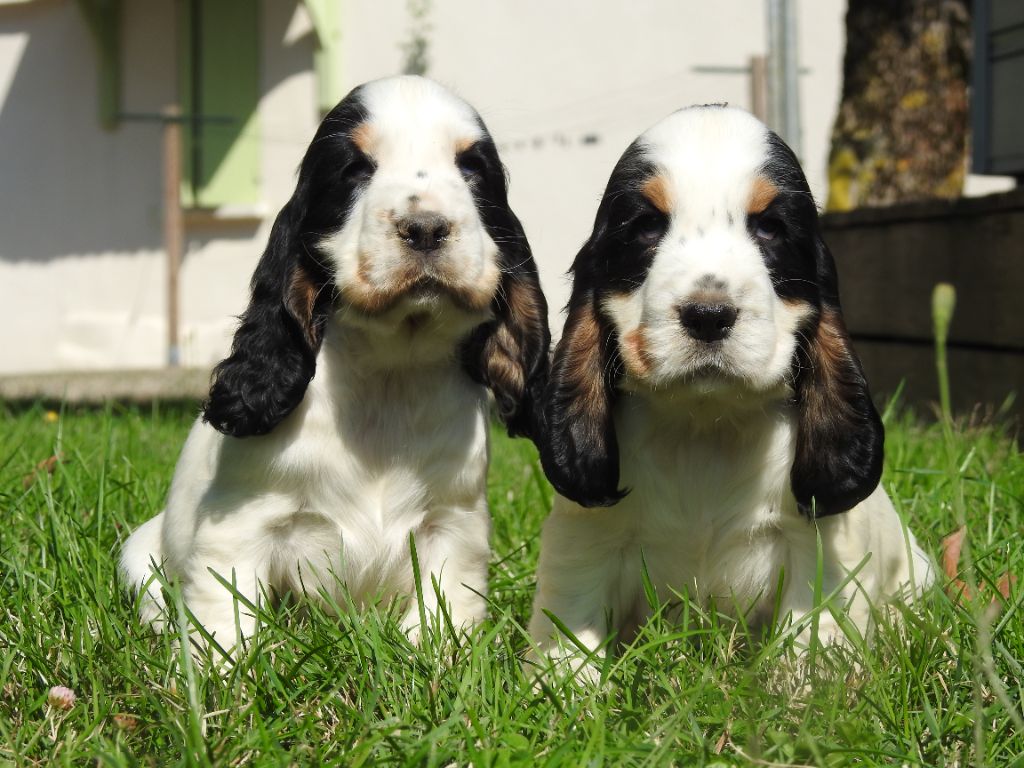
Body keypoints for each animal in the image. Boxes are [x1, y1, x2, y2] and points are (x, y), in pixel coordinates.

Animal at [120, 75, 548, 651]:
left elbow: (441, 614)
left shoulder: (453, 526)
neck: (389, 373)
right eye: (354, 169)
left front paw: (433, 661)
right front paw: (220, 671)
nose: (426, 228)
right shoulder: (240, 527)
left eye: (472, 169)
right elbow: (224, 617)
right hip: (139, 552)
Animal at [532, 103, 933, 667]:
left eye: (770, 228)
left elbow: (807, 643)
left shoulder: (816, 555)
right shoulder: (585, 544)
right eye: (646, 227)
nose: (708, 315)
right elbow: (572, 633)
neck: (705, 430)